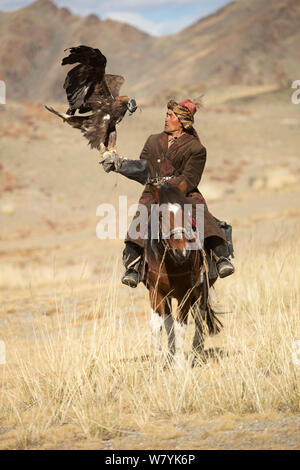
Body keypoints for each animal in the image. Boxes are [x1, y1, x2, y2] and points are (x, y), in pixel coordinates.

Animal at [143, 180, 223, 368]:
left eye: (186, 212)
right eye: (161, 216)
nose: (182, 252)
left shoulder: (185, 294)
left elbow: (181, 327)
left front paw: (179, 364)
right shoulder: (156, 292)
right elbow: (158, 326)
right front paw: (158, 363)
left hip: (200, 292)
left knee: (200, 320)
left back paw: (196, 353)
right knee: (170, 322)